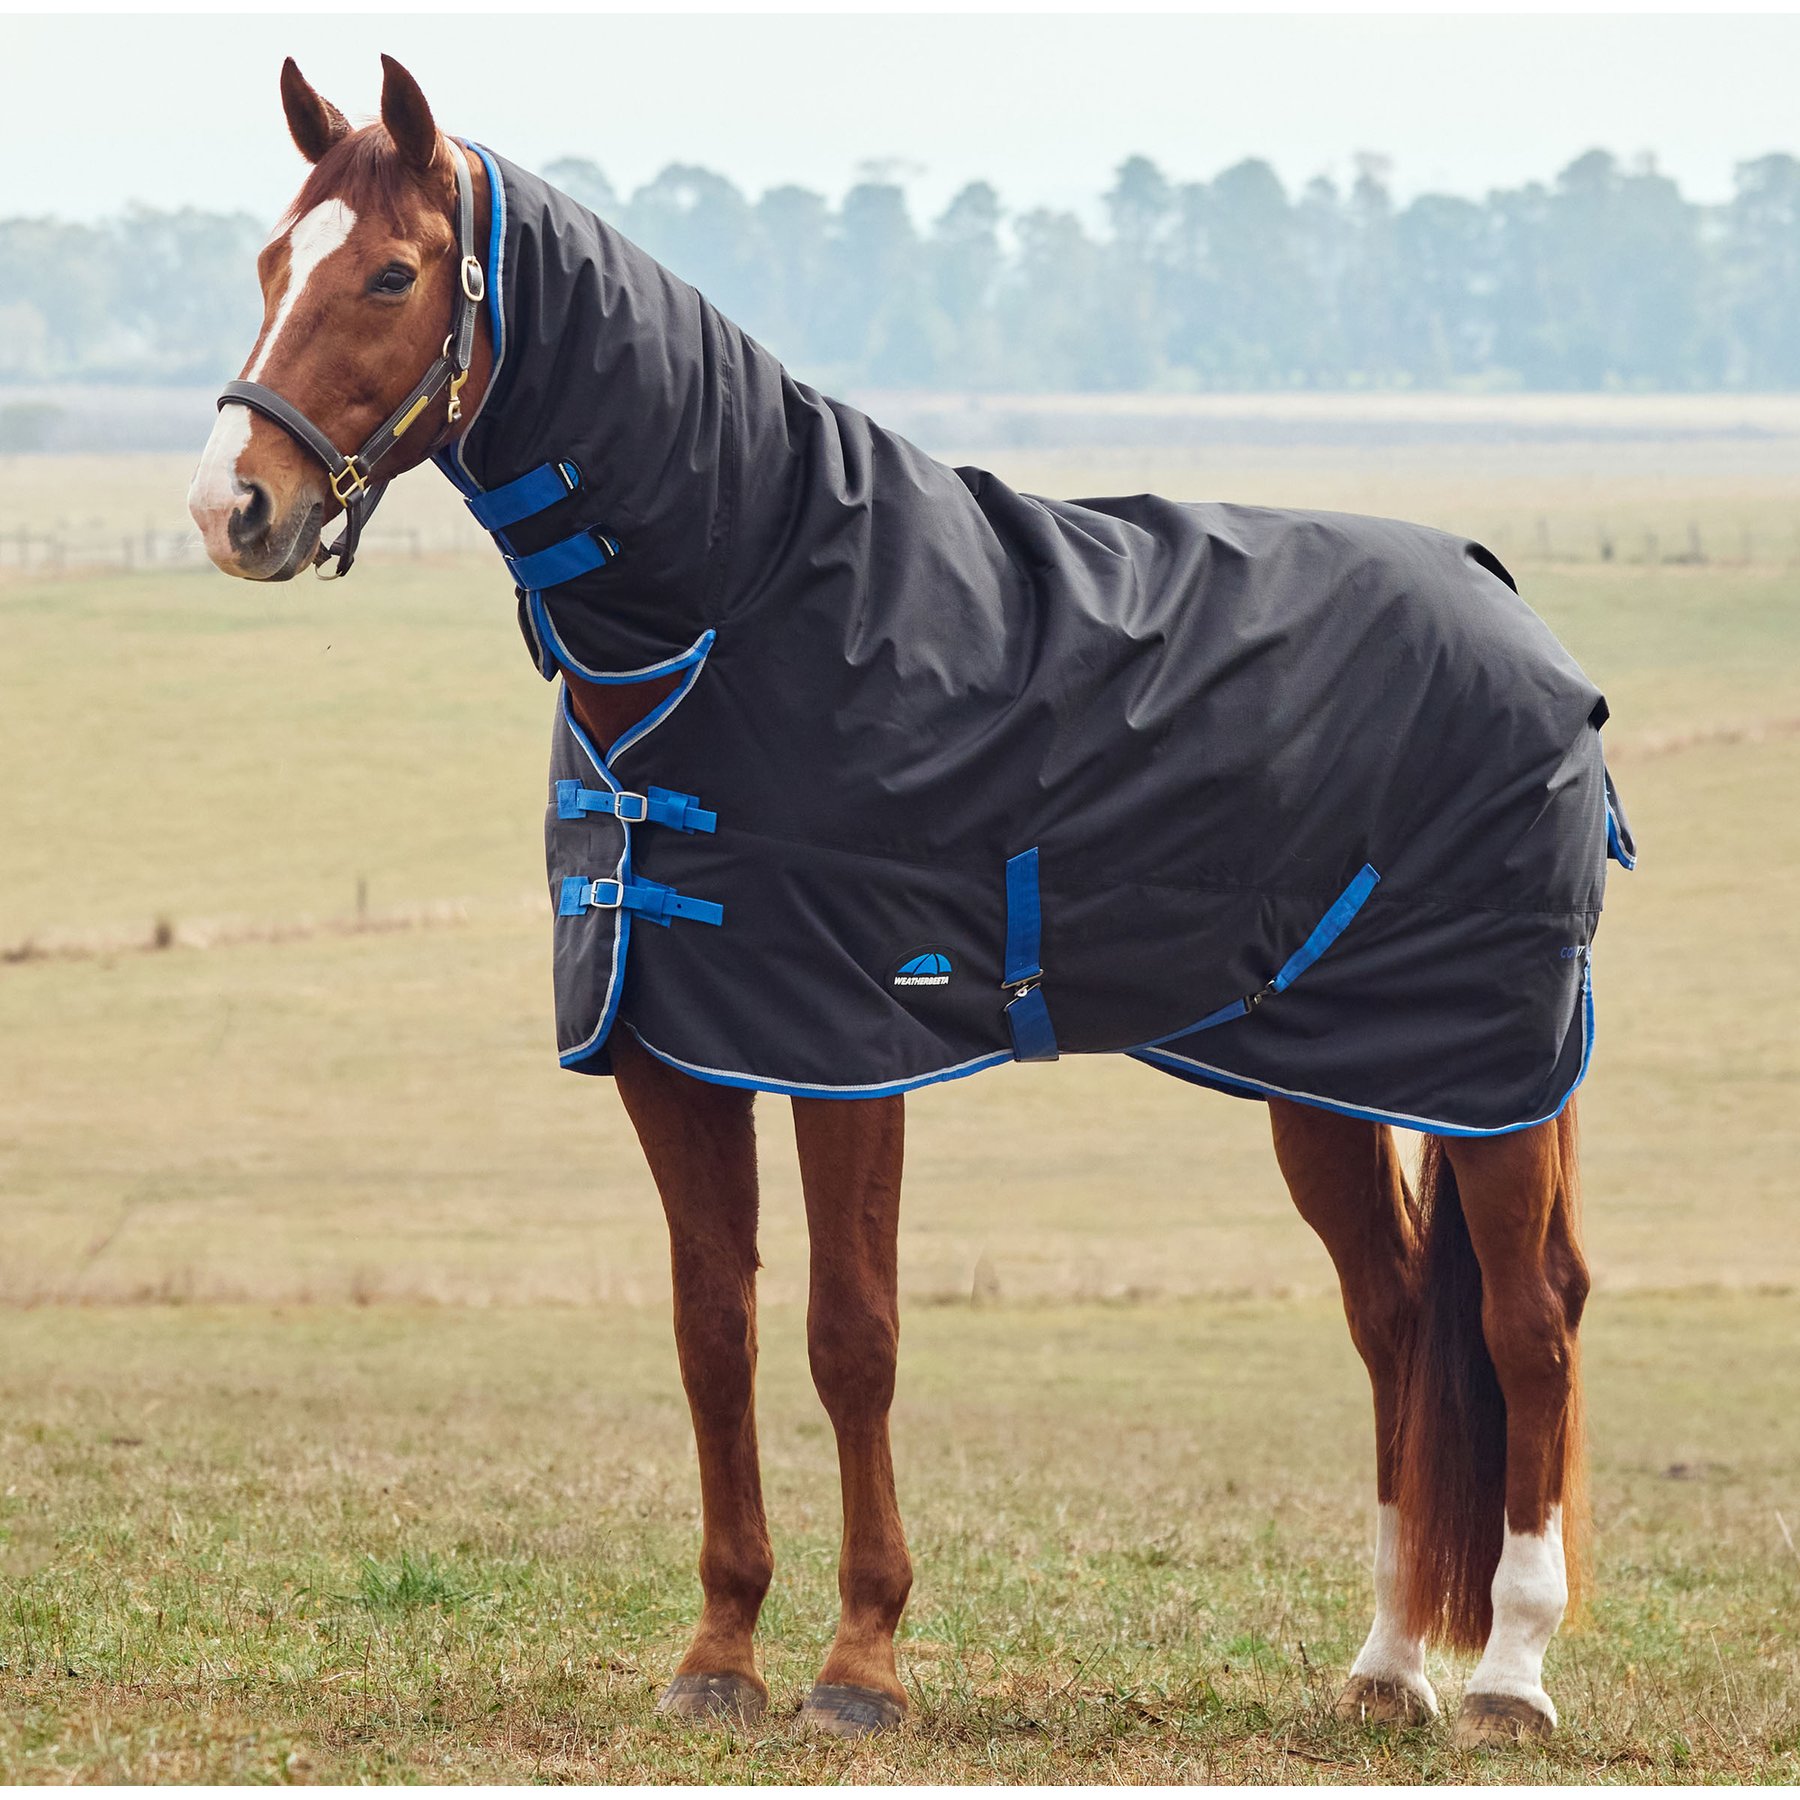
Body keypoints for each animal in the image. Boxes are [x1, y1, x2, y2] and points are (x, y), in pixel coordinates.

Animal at [188, 56, 1620, 1746]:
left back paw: (1510, 1678)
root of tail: (1504, 597)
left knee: (1528, 1322)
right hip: (1326, 1078)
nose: (233, 507)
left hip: (1491, 1075)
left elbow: (849, 1336)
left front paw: (861, 1662)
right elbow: (715, 1334)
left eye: (393, 275)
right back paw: (1389, 1665)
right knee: (1395, 1319)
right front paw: (720, 1653)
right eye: (269, 264)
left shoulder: (847, 1049)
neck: (738, 610)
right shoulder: (674, 1051)